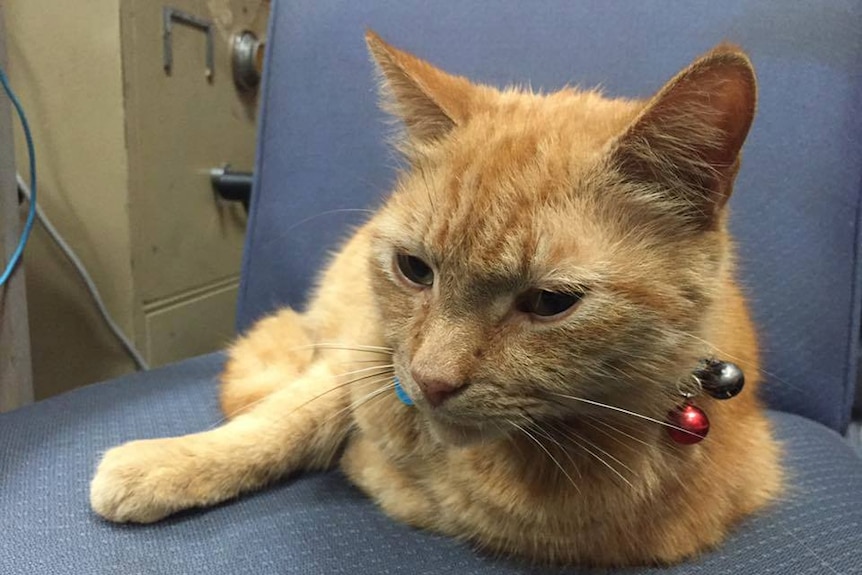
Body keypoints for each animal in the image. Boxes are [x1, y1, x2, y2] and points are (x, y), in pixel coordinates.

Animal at [93, 32, 784, 568]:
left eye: (550, 302)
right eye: (414, 270)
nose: (431, 380)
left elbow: (401, 486)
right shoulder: (362, 354)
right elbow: (287, 419)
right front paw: (172, 463)